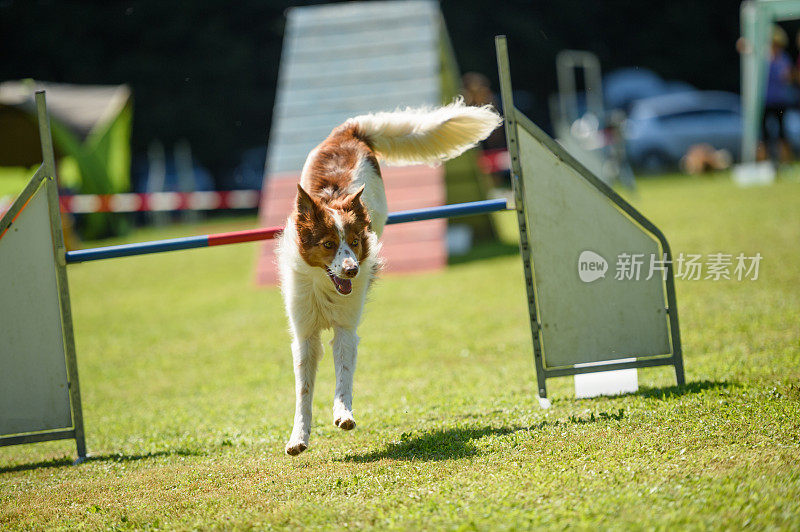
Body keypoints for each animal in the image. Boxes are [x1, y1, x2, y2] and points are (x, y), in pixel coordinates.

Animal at [276, 97, 500, 456]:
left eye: (354, 241)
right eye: (328, 244)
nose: (353, 270)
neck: (326, 286)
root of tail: (349, 131)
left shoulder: (345, 329)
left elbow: (343, 376)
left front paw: (343, 414)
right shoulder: (305, 334)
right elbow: (304, 391)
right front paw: (298, 437)